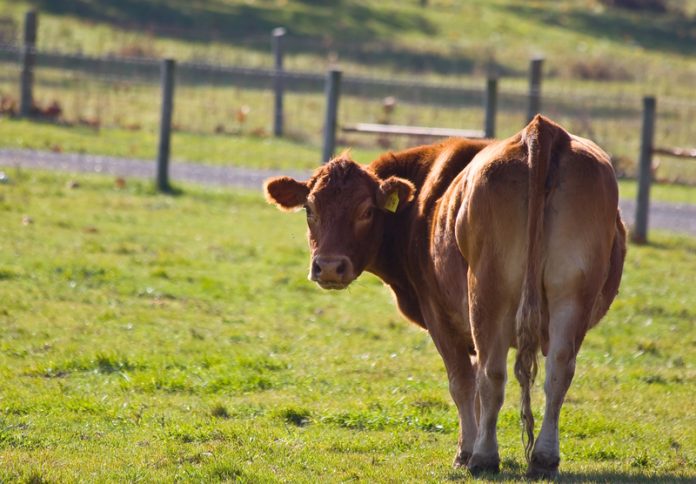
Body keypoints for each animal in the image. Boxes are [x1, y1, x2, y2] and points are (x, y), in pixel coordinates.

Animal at [264, 115, 628, 478]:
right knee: (558, 373)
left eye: (366, 211)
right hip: (572, 294)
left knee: (492, 375)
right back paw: (543, 458)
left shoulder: (439, 316)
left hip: (489, 295)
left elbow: (462, 383)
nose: (328, 267)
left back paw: (483, 456)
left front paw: (464, 452)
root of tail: (541, 130)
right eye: (309, 209)